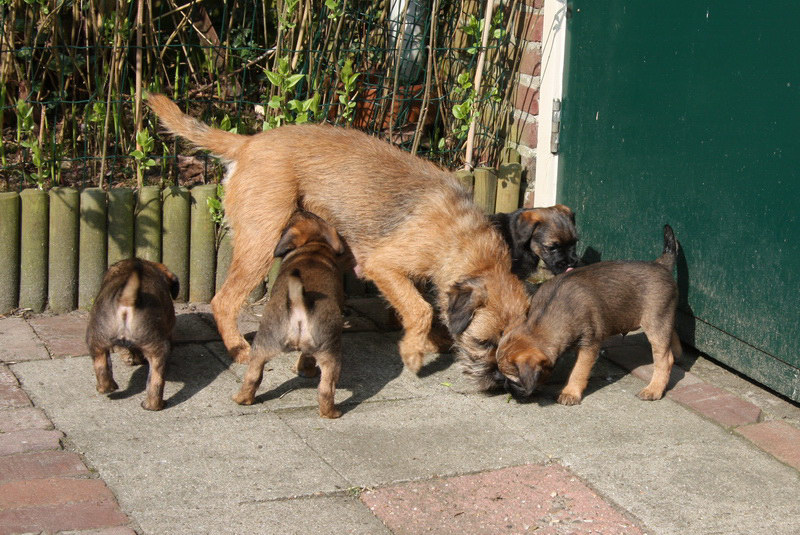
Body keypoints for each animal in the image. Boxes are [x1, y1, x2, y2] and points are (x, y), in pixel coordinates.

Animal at [147, 94, 533, 384]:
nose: (499, 380)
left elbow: (418, 307)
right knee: (224, 300)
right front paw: (413, 351)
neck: (462, 237)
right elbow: (420, 310)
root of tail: (249, 142)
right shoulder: (382, 265)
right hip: (262, 241)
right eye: (483, 342)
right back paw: (237, 347)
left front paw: (429, 338)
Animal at [232, 211, 347, 418]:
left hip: (264, 346)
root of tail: (299, 303)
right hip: (329, 354)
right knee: (326, 389)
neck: (314, 247)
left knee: (253, 376)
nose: (298, 209)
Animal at [494, 224, 682, 405]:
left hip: (655, 321)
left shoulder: (590, 345)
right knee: (672, 333)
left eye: (514, 381)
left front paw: (570, 392)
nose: (505, 388)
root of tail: (660, 265)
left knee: (664, 358)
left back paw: (654, 389)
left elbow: (578, 371)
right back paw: (679, 352)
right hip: (662, 318)